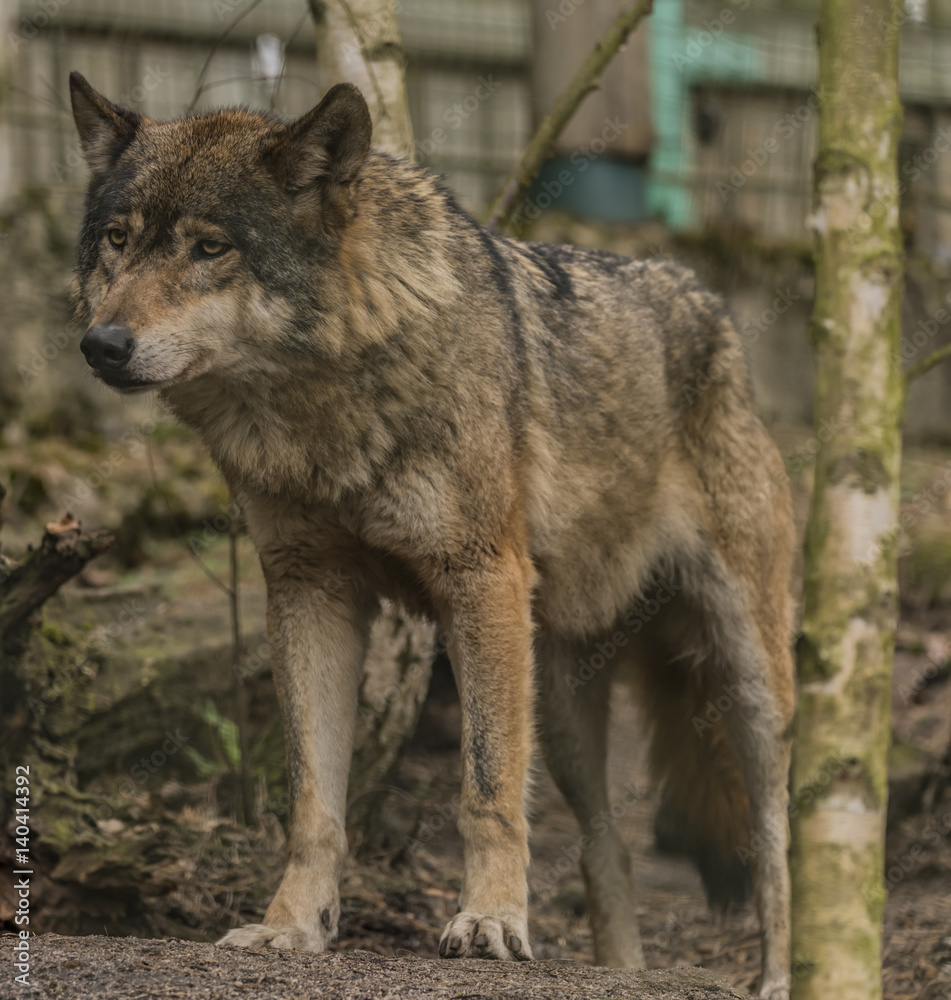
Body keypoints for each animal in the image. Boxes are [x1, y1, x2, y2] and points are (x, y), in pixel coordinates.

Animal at [69, 72, 796, 1000]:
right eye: (118, 240)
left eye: (209, 248)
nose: (101, 343)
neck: (321, 407)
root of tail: (713, 310)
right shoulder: (309, 590)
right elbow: (314, 803)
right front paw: (290, 927)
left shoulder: (477, 580)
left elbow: (484, 791)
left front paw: (488, 923)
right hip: (560, 707)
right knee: (607, 852)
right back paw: (620, 967)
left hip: (744, 684)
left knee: (775, 842)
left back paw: (777, 977)